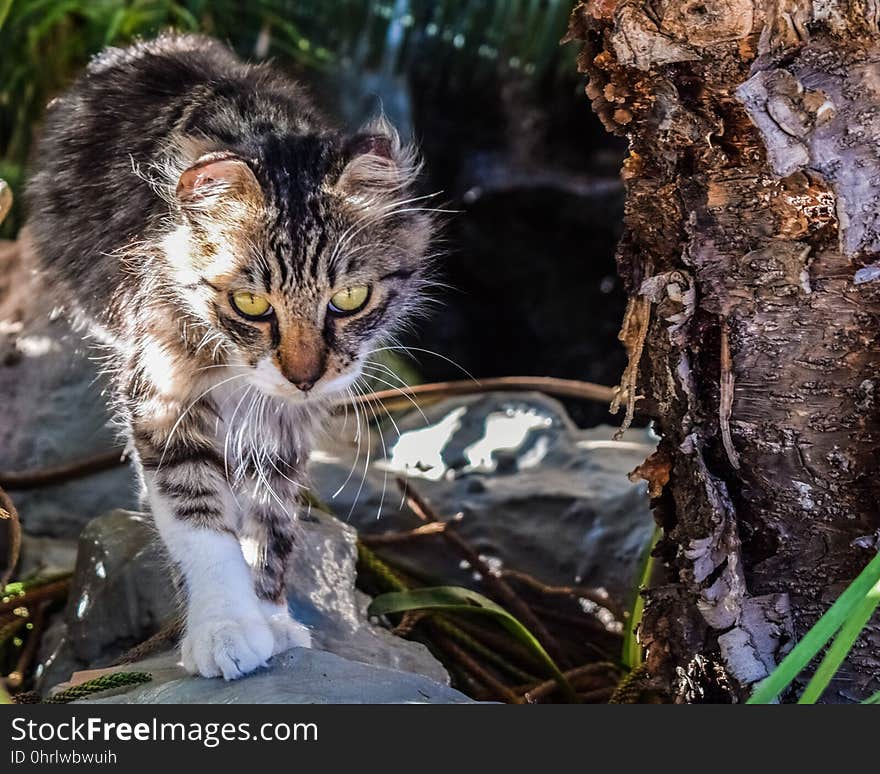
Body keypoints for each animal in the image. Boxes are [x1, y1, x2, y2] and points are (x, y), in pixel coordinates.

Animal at [29, 34, 434, 680]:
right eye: (250, 303)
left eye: (348, 299)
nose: (303, 376)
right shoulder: (163, 394)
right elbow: (199, 521)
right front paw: (224, 629)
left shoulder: (287, 427)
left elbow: (273, 520)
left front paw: (270, 614)